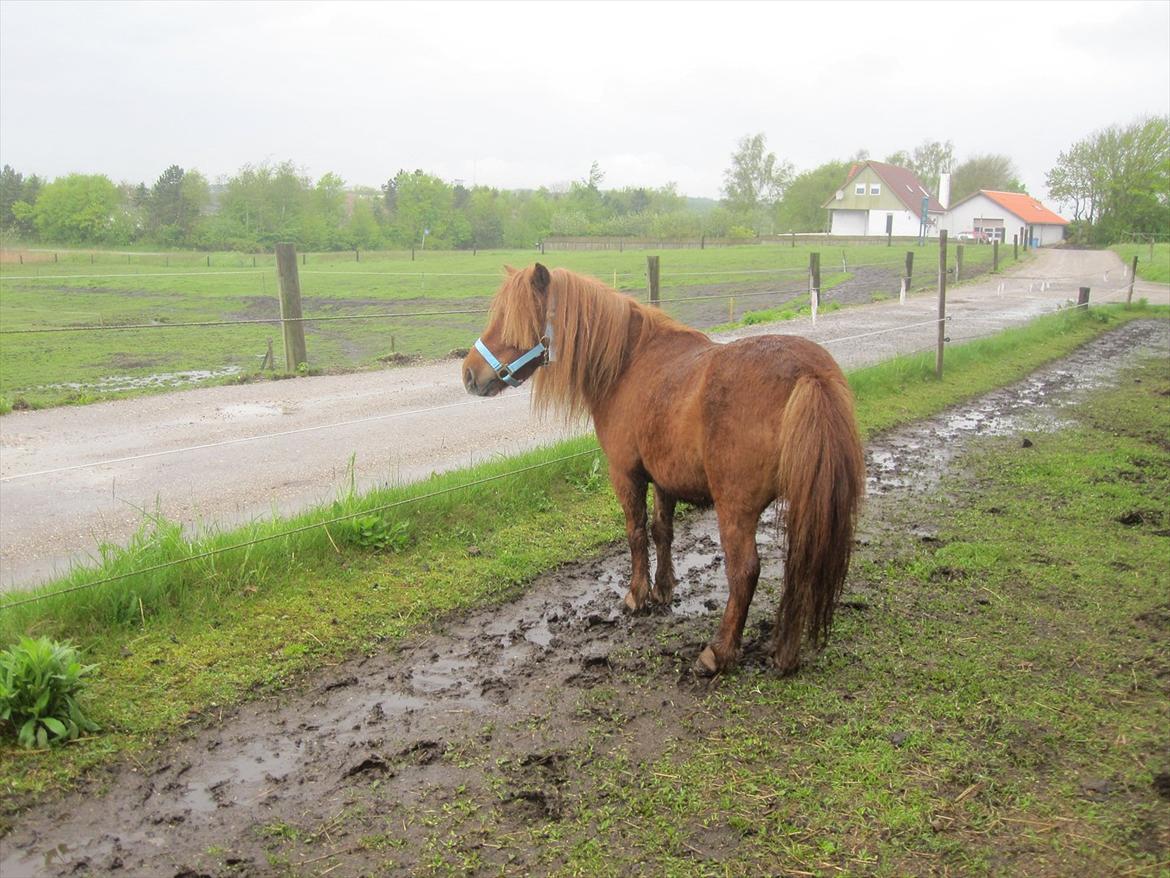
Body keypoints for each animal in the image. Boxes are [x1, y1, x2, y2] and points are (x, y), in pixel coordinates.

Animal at [460, 264, 865, 678]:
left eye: (513, 319)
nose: (469, 374)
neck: (629, 364)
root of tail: (809, 375)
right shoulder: (664, 478)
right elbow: (662, 531)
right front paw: (663, 589)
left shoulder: (626, 474)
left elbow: (636, 533)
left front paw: (637, 594)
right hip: (804, 506)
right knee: (800, 567)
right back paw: (784, 653)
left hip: (736, 509)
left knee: (745, 571)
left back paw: (719, 652)